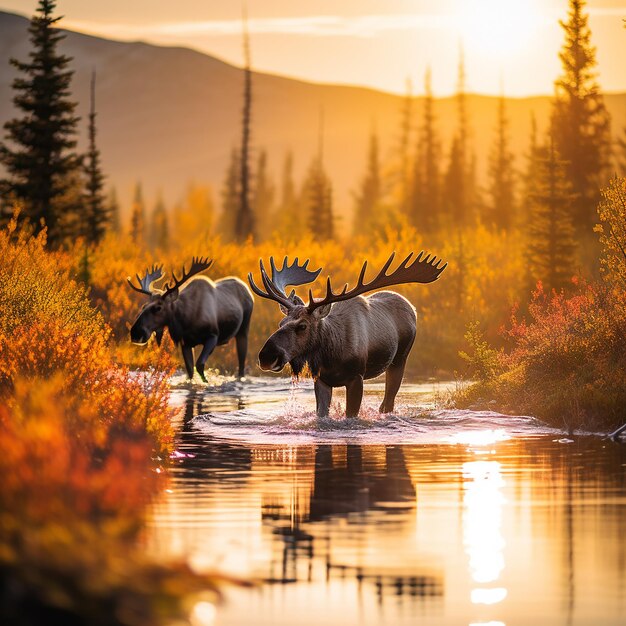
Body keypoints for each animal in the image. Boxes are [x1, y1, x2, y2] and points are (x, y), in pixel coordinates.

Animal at [246, 251, 446, 416]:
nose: (266, 356)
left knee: (387, 404)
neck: (331, 355)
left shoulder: (356, 377)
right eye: (281, 323)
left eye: (302, 326)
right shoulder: (321, 380)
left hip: (399, 360)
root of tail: (412, 308)